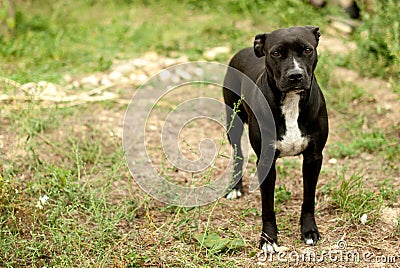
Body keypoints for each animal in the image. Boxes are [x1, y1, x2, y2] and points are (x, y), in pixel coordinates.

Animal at [222, 26, 328, 252]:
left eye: (307, 49)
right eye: (276, 53)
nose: (295, 75)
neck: (291, 102)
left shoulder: (314, 157)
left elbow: (308, 199)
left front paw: (309, 231)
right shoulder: (266, 161)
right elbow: (267, 206)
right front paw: (268, 238)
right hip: (233, 123)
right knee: (238, 154)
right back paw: (235, 188)